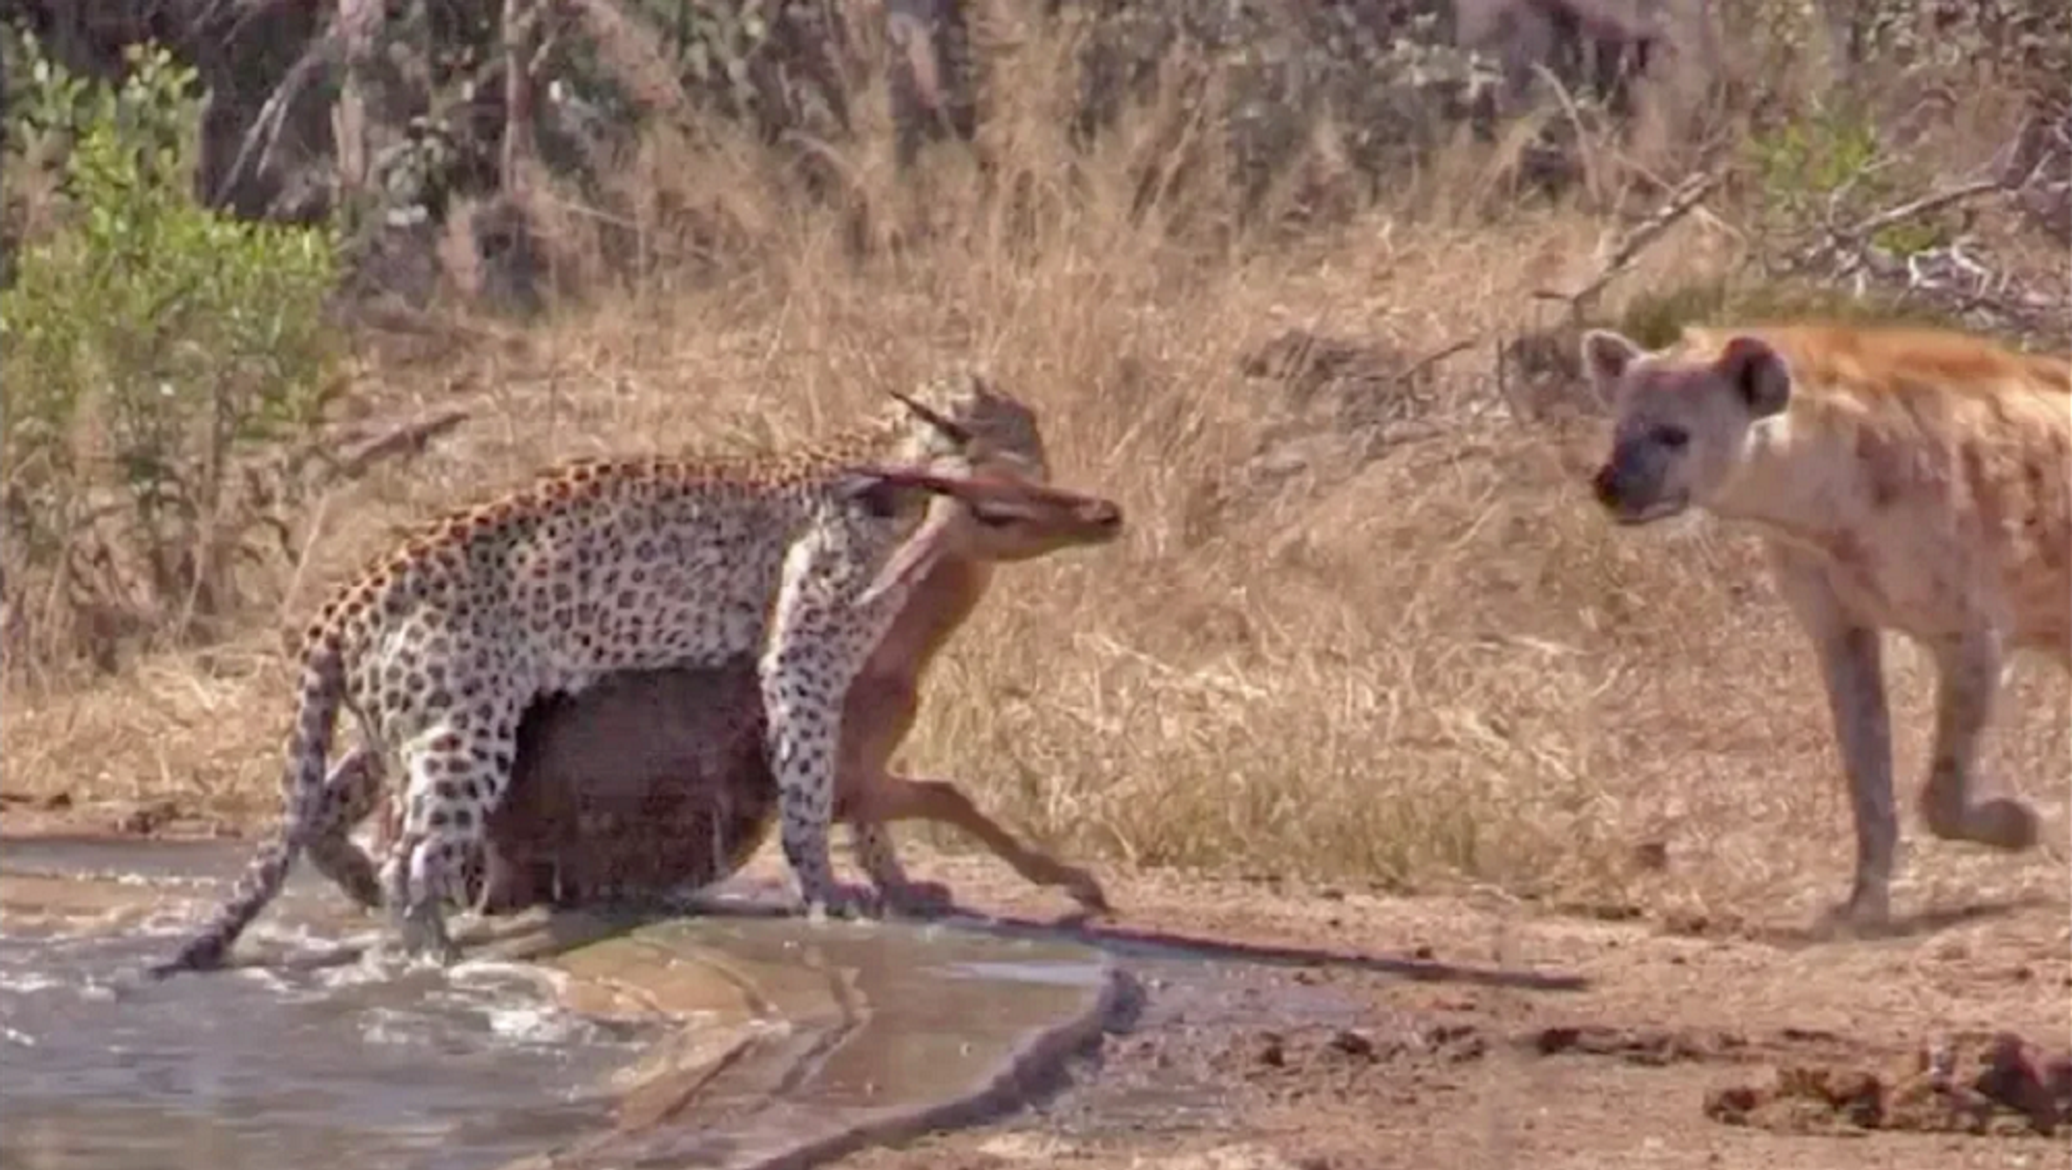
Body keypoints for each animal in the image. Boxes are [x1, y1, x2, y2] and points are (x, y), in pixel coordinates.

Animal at [150, 368, 1069, 973]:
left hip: (414, 721)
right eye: (1022, 429)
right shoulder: (802, 662)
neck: (900, 472)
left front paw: (896, 884)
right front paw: (828, 893)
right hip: (465, 732)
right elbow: (809, 785)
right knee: (417, 848)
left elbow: (858, 796)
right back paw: (433, 952)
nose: (1056, 472)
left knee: (333, 806)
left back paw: (376, 899)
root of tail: (345, 596)